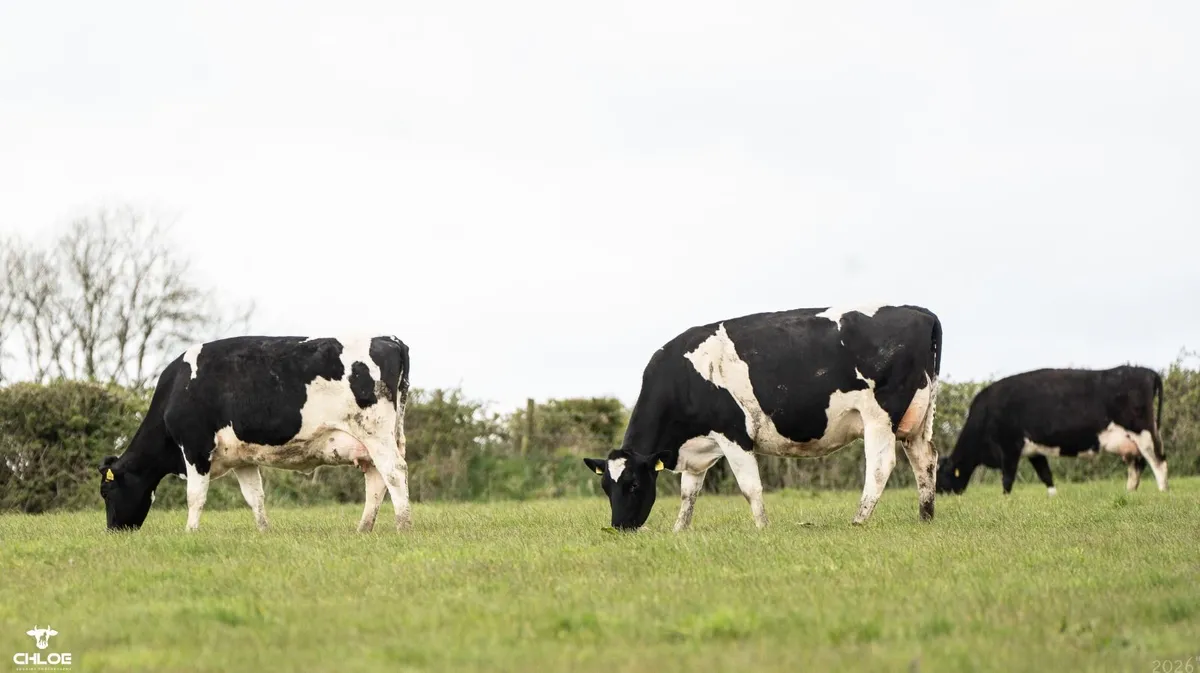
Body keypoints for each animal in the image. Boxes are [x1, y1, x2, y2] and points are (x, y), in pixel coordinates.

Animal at [97, 335, 411, 533]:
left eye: (106, 491)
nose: (113, 531)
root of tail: (388, 339)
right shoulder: (242, 458)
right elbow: (254, 496)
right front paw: (263, 530)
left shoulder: (195, 447)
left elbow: (195, 496)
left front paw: (190, 531)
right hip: (373, 442)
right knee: (376, 480)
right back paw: (363, 528)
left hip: (375, 433)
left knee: (394, 472)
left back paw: (403, 526)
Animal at [582, 304, 943, 531]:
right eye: (605, 486)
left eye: (633, 484)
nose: (619, 527)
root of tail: (918, 312)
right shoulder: (699, 450)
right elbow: (689, 493)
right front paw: (679, 530)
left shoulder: (733, 435)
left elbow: (750, 487)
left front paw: (762, 527)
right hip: (917, 421)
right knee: (925, 460)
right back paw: (925, 516)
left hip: (879, 418)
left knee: (880, 467)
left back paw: (858, 520)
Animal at [936, 365, 1167, 496]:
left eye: (940, 474)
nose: (936, 494)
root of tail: (1145, 371)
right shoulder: (1034, 451)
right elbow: (1045, 475)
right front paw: (1053, 497)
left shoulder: (1010, 447)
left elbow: (1007, 478)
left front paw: (1005, 500)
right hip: (1130, 442)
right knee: (1137, 466)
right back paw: (1129, 493)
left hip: (1143, 431)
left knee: (1158, 460)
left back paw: (1163, 492)